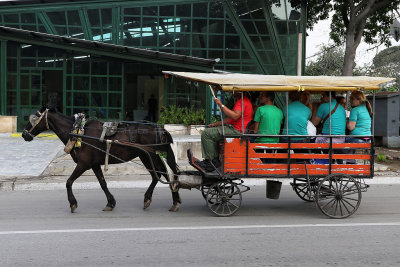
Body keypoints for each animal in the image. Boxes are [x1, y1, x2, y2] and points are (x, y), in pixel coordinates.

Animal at [21, 107, 181, 214]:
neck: (79, 132)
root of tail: (160, 128)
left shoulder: (83, 164)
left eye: (34, 119)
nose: (24, 134)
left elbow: (68, 182)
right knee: (158, 174)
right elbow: (103, 183)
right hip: (145, 155)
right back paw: (160, 198)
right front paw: (110, 203)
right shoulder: (94, 164)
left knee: (162, 174)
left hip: (151, 155)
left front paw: (73, 203)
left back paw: (172, 200)